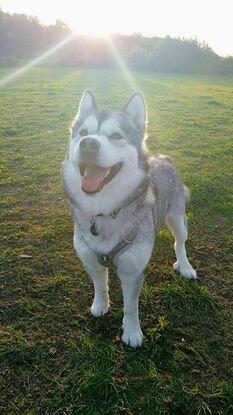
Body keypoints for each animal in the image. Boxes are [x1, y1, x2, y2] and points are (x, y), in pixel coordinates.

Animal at [62, 90, 197, 348]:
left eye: (116, 136)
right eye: (83, 133)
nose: (88, 143)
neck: (105, 211)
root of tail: (163, 158)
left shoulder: (133, 271)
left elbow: (131, 307)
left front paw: (132, 333)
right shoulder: (90, 259)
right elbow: (100, 285)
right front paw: (100, 305)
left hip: (177, 217)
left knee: (180, 243)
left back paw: (185, 266)